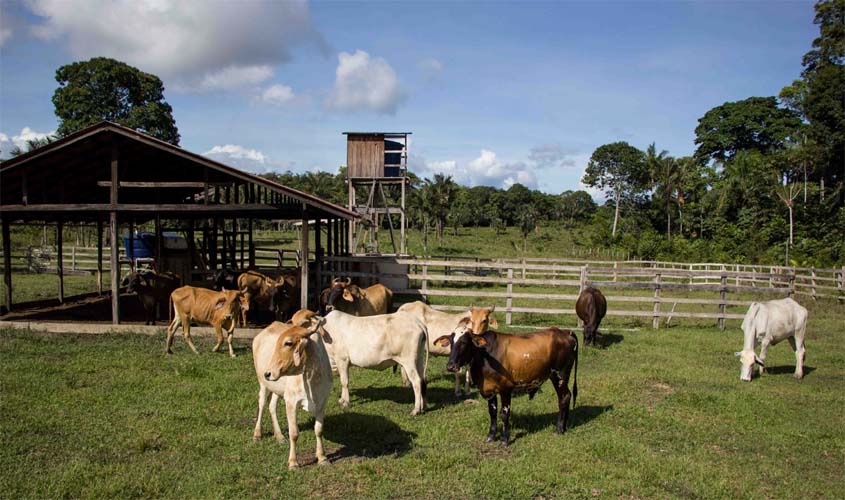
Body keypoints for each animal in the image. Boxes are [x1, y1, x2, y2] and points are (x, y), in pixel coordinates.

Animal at [251, 312, 330, 468]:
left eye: (288, 343)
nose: (268, 373)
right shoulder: (291, 402)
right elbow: (294, 433)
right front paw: (293, 462)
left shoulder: (322, 403)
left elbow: (319, 430)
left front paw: (322, 457)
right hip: (263, 384)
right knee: (262, 404)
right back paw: (257, 434)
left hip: (277, 389)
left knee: (272, 406)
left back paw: (280, 436)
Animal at [436, 328, 580, 446]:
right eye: (451, 342)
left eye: (464, 342)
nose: (451, 366)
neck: (485, 356)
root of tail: (565, 331)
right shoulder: (489, 391)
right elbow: (492, 413)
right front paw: (491, 436)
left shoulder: (506, 389)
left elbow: (504, 414)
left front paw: (505, 439)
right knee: (567, 396)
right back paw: (564, 427)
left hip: (560, 375)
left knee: (564, 398)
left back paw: (559, 429)